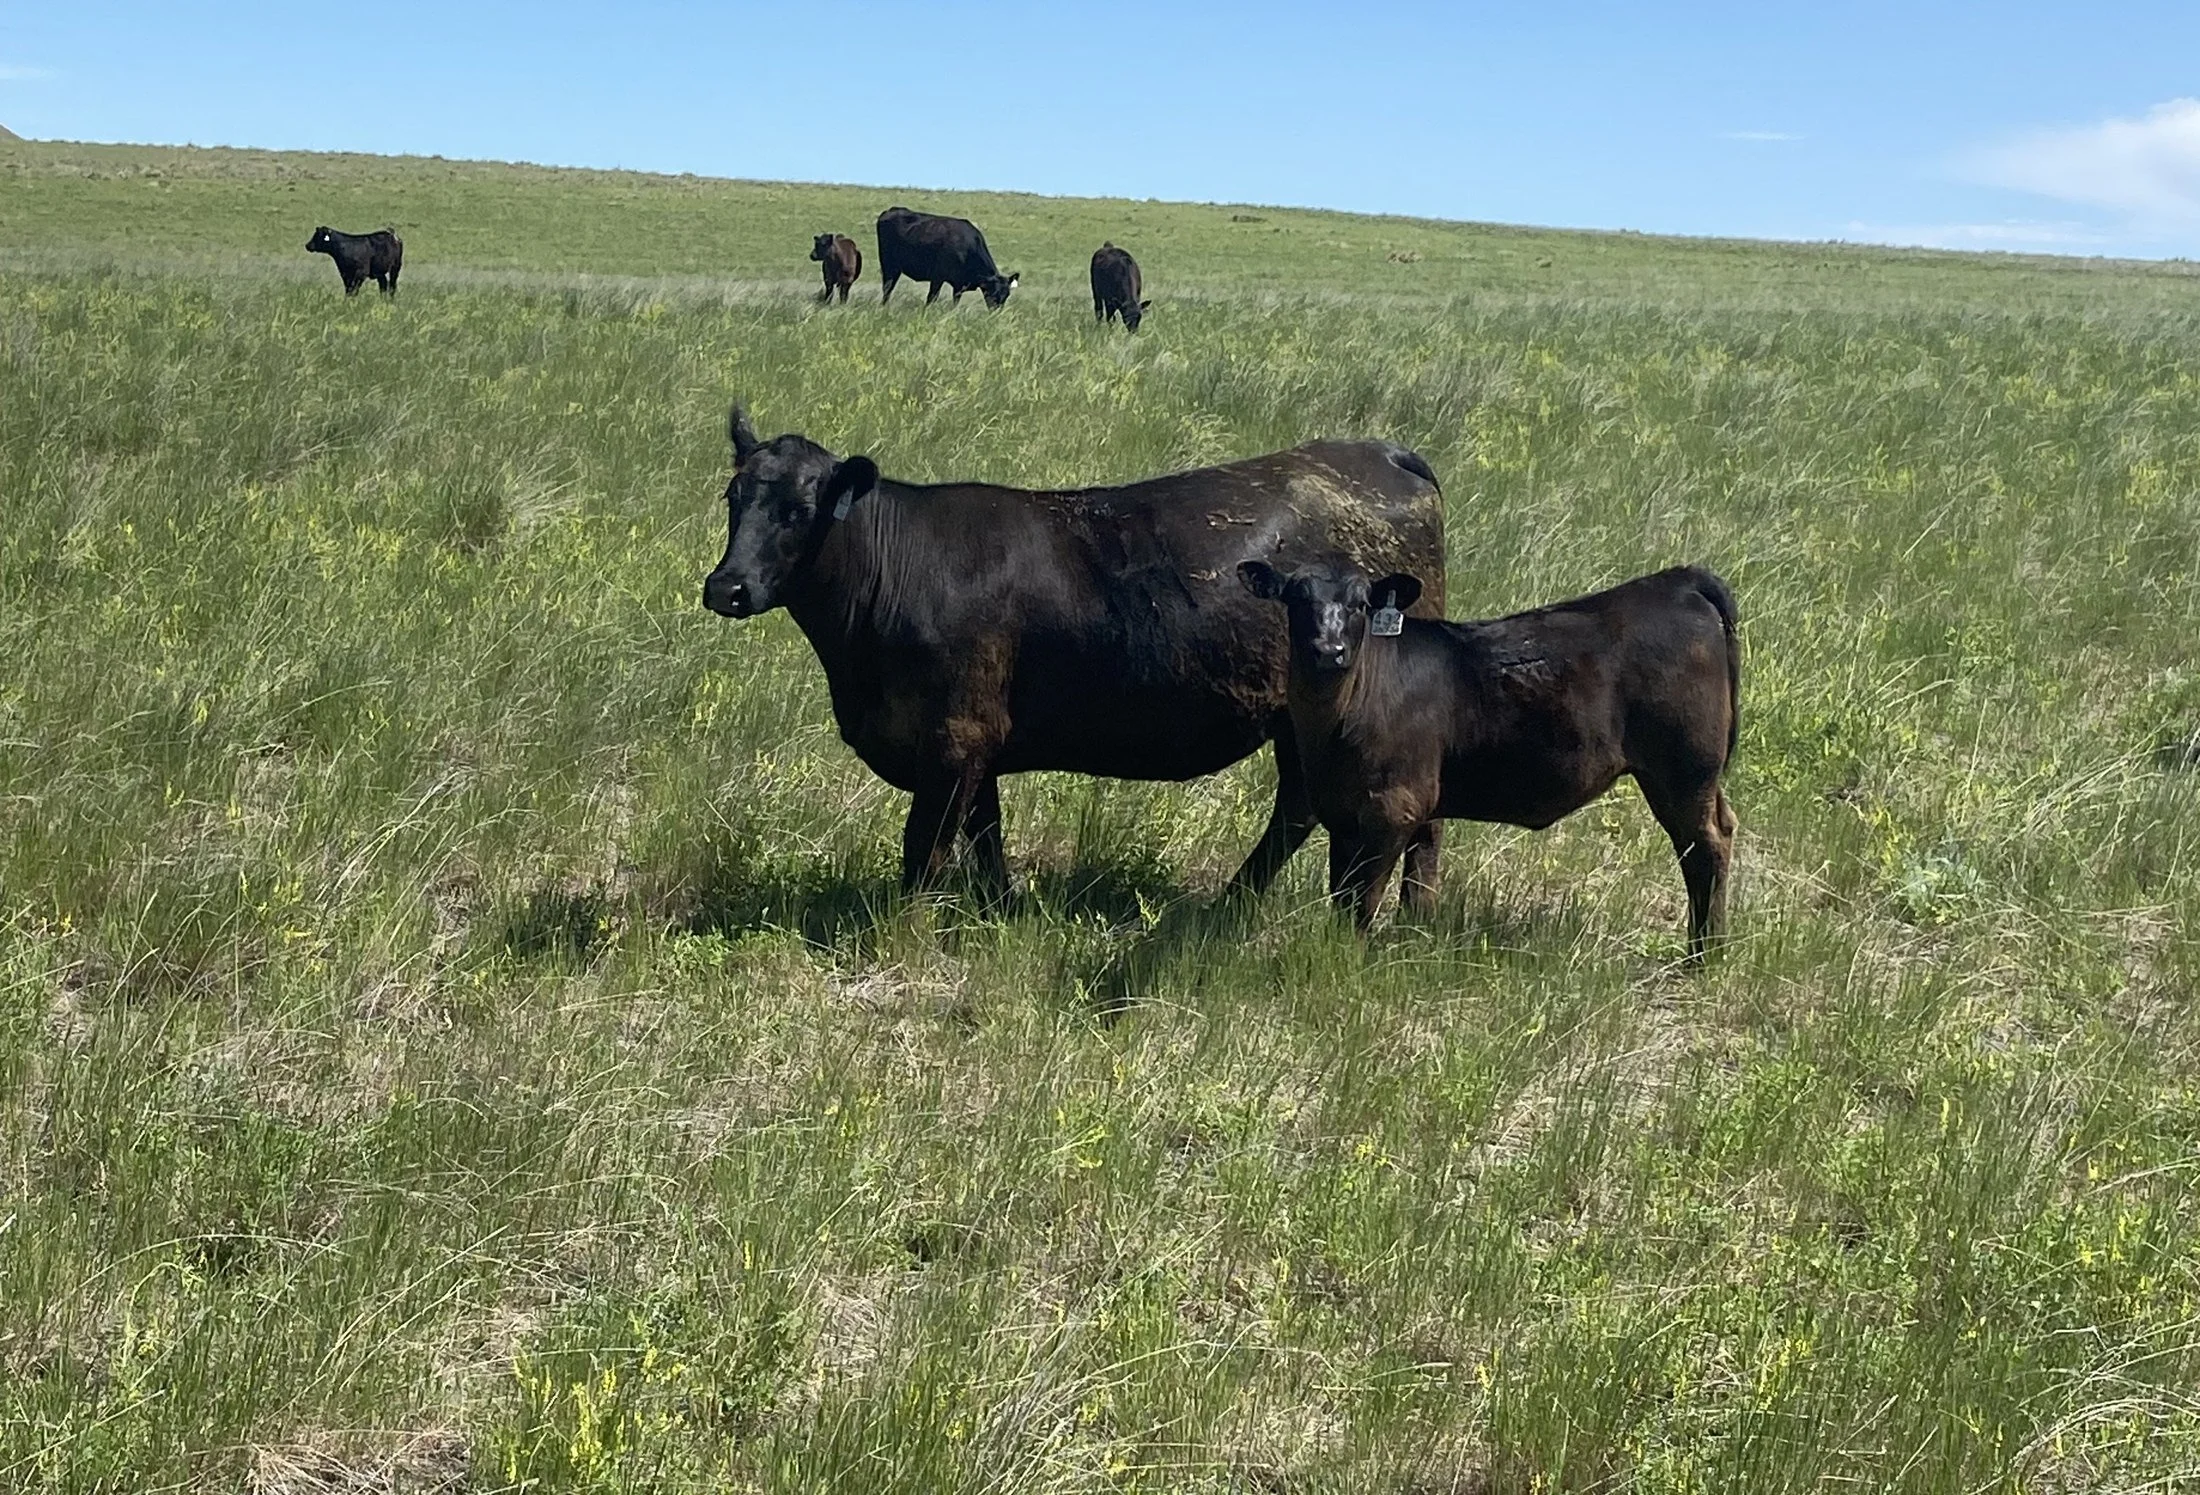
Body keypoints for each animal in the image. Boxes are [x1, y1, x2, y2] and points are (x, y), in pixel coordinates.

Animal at [701, 406, 1447, 903]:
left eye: (801, 509)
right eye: (733, 496)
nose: (727, 587)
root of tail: (1382, 452)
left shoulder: (951, 736)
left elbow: (925, 848)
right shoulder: (980, 741)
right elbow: (985, 833)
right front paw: (999, 909)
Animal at [875, 206, 1018, 308]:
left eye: (1007, 295)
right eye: (994, 293)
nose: (996, 312)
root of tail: (891, 210)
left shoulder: (959, 285)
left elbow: (955, 303)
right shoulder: (937, 277)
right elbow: (931, 298)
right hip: (889, 265)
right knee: (887, 288)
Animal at [1238, 559, 1739, 958]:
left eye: (1361, 604)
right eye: (1296, 599)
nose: (1329, 651)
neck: (1335, 726)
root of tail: (1676, 581)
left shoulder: (1394, 808)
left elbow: (1364, 898)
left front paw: (1348, 959)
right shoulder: (1341, 812)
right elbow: (1342, 894)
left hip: (1684, 771)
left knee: (1704, 847)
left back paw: (1702, 955)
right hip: (1696, 777)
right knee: (1722, 829)